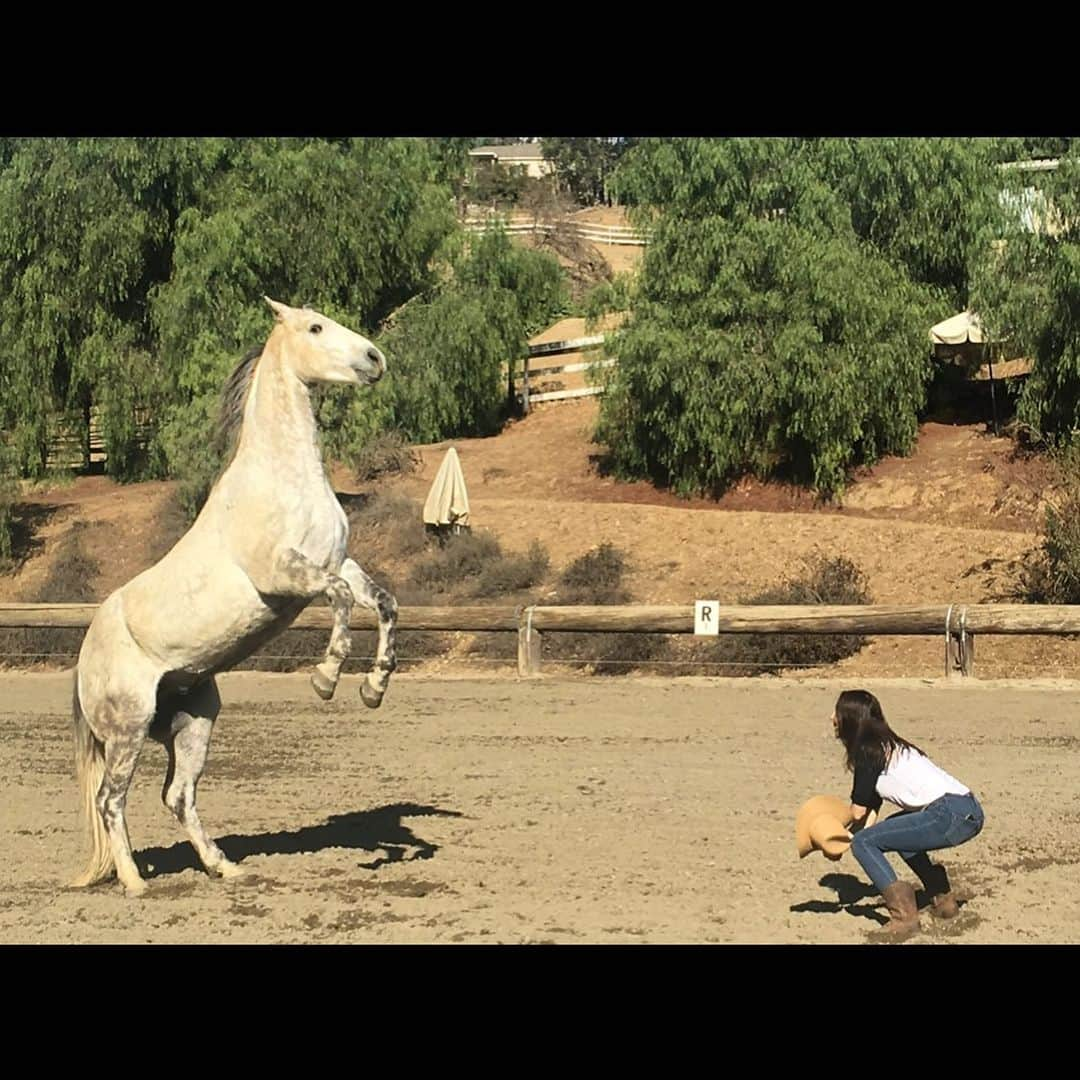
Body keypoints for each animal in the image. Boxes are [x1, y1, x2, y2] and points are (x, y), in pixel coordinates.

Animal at [73, 295, 399, 894]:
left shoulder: (337, 561)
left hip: (195, 721)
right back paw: (135, 883)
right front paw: (325, 678)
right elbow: (342, 600)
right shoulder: (288, 576)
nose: (374, 358)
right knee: (111, 800)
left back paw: (223, 866)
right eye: (315, 327)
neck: (283, 479)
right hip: (127, 730)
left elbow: (383, 604)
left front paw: (372, 689)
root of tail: (84, 661)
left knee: (177, 795)